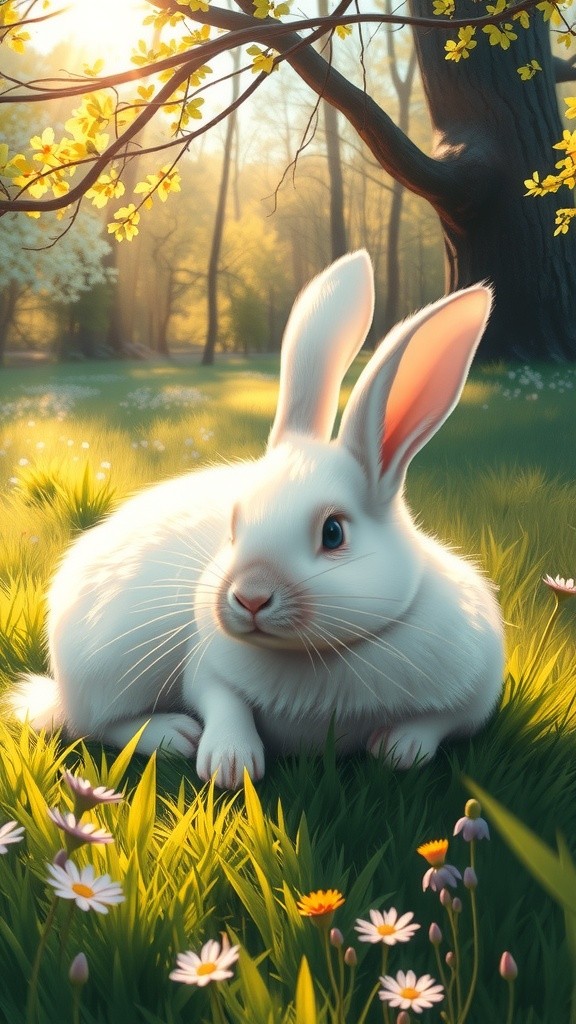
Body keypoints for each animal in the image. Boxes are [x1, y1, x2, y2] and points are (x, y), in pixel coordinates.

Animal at [12, 251, 504, 790]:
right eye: (233, 527)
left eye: (334, 532)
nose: (249, 597)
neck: (312, 654)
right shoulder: (204, 668)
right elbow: (223, 702)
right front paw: (229, 765)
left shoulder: (476, 691)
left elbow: (440, 723)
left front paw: (398, 749)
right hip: (110, 662)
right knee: (93, 722)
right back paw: (173, 735)